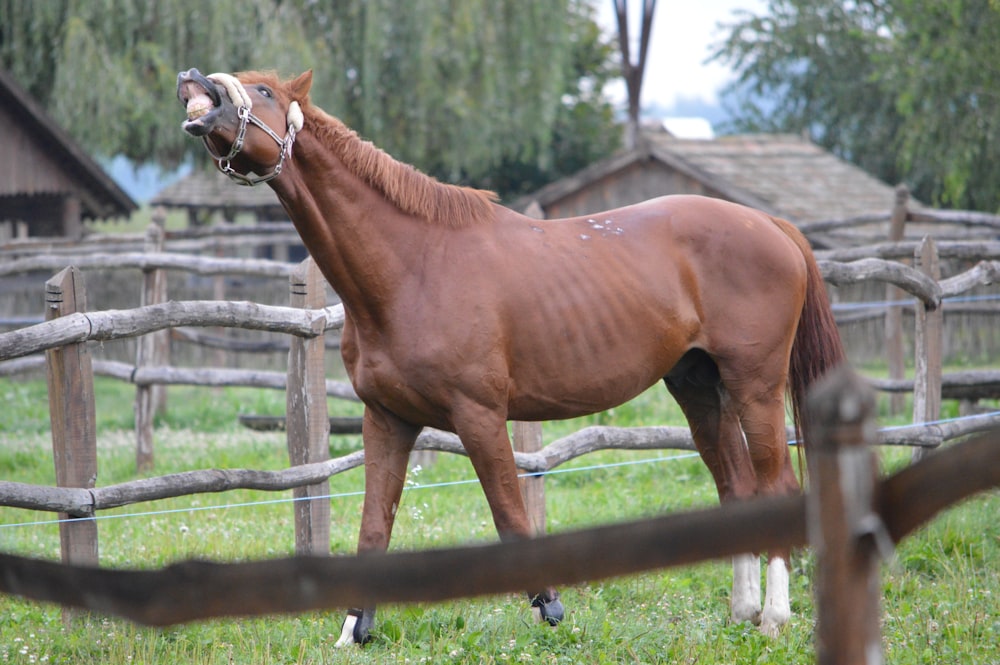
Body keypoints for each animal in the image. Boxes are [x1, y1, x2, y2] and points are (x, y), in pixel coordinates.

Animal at [178, 68, 844, 644]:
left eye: (264, 90)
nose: (195, 81)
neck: (413, 265)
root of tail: (771, 225)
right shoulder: (386, 420)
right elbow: (374, 525)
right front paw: (353, 630)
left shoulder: (478, 414)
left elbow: (508, 512)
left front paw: (551, 611)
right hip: (700, 388)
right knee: (736, 487)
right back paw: (743, 611)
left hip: (755, 386)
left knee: (776, 484)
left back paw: (774, 619)